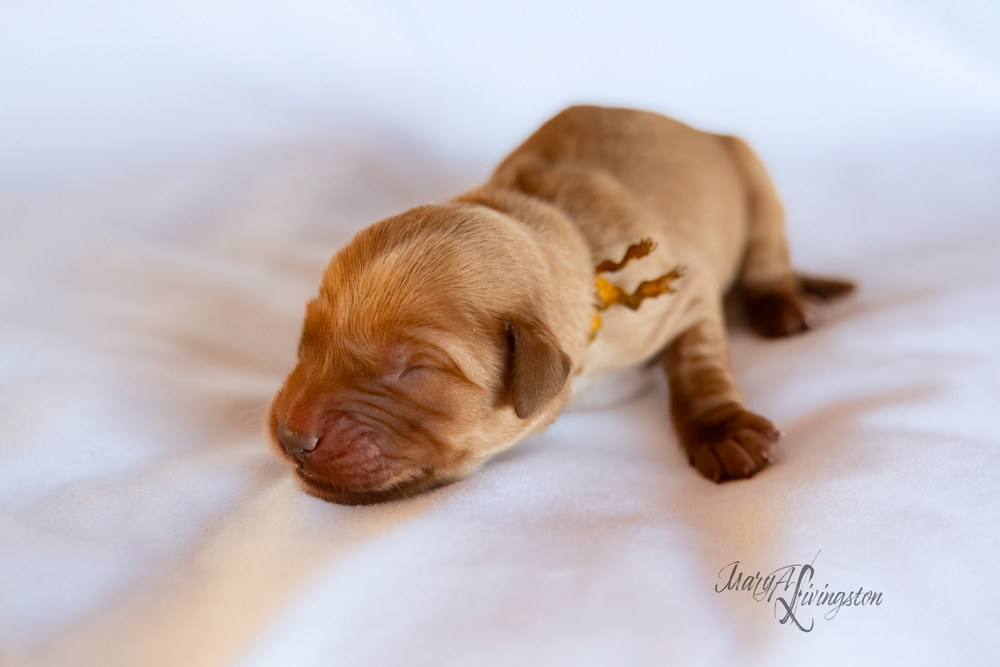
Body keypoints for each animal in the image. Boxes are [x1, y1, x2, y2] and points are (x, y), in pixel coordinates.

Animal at [270, 107, 856, 506]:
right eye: (305, 340)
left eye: (416, 369)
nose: (290, 439)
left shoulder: (684, 298)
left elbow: (699, 364)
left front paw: (724, 431)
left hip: (753, 177)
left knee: (767, 258)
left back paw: (784, 305)